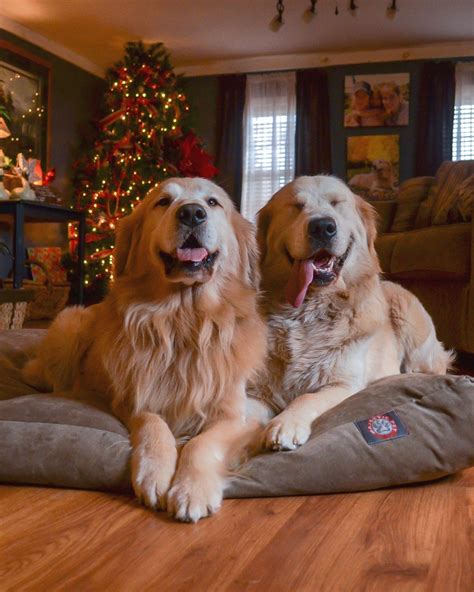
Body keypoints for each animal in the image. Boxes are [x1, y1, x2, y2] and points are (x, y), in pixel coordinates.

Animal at [24, 178, 266, 520]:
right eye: (163, 202)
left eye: (213, 202)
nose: (192, 213)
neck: (183, 321)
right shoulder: (133, 397)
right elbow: (155, 426)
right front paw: (155, 473)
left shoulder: (233, 414)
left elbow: (202, 443)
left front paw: (192, 489)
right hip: (72, 320)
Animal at [248, 176, 452, 448]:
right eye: (297, 206)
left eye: (337, 203)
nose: (322, 227)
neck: (310, 307)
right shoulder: (257, 391)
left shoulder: (342, 383)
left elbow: (306, 398)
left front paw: (285, 424)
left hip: (406, 310)